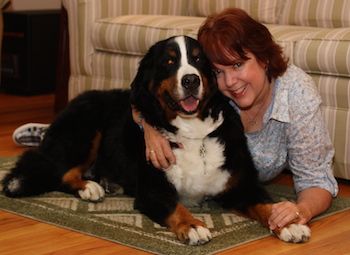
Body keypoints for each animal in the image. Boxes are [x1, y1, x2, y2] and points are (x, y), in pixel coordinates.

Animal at [2, 34, 308, 244]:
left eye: (199, 60)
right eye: (169, 62)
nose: (190, 80)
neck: (193, 133)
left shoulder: (239, 185)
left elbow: (266, 204)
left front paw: (288, 223)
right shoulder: (153, 190)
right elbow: (176, 207)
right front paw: (194, 226)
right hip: (86, 129)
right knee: (61, 172)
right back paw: (90, 188)